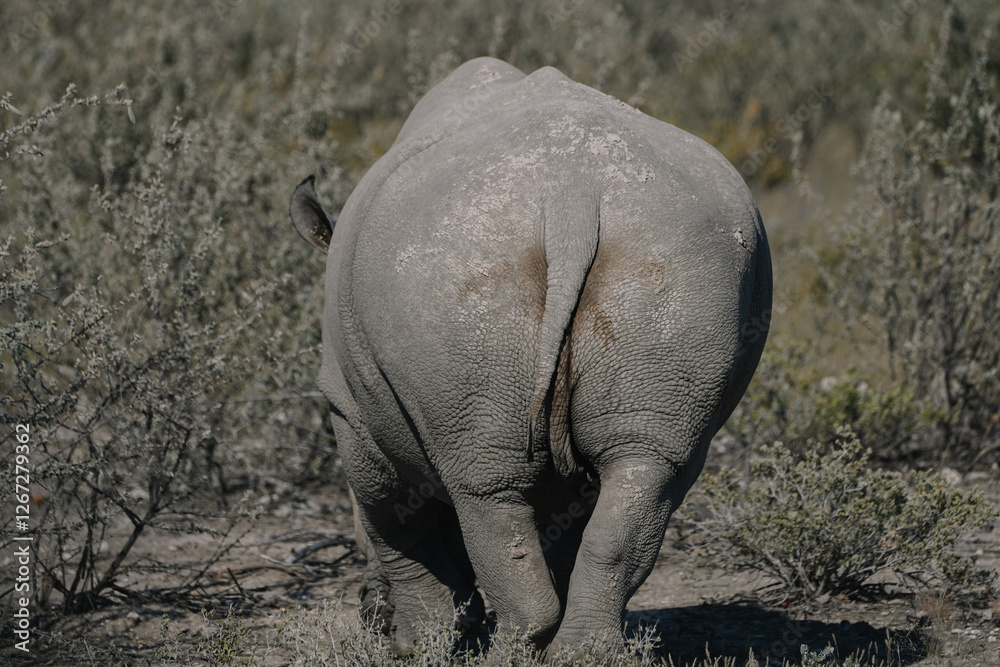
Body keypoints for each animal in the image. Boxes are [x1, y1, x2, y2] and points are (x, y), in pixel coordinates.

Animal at [290, 57, 771, 657]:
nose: (368, 613)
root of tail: (573, 196)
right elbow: (559, 533)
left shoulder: (347, 405)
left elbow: (392, 521)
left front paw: (419, 643)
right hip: (683, 259)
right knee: (649, 466)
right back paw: (582, 653)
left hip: (455, 270)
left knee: (485, 488)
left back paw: (506, 650)